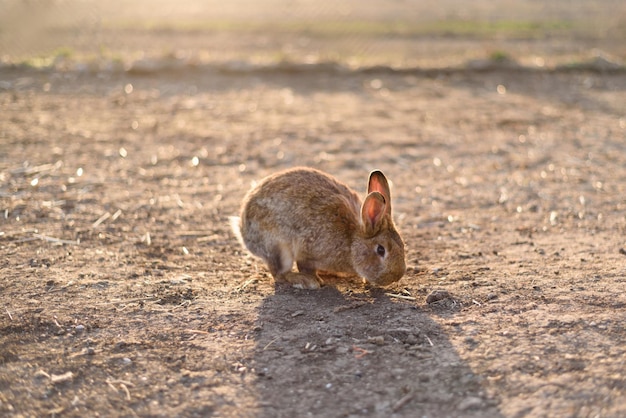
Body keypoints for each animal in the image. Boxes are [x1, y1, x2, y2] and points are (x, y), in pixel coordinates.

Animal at [229, 168, 404, 290]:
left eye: (402, 246)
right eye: (381, 250)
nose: (397, 276)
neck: (351, 242)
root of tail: (243, 229)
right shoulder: (307, 251)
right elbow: (304, 265)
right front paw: (314, 280)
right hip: (278, 247)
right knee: (279, 273)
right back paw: (303, 281)